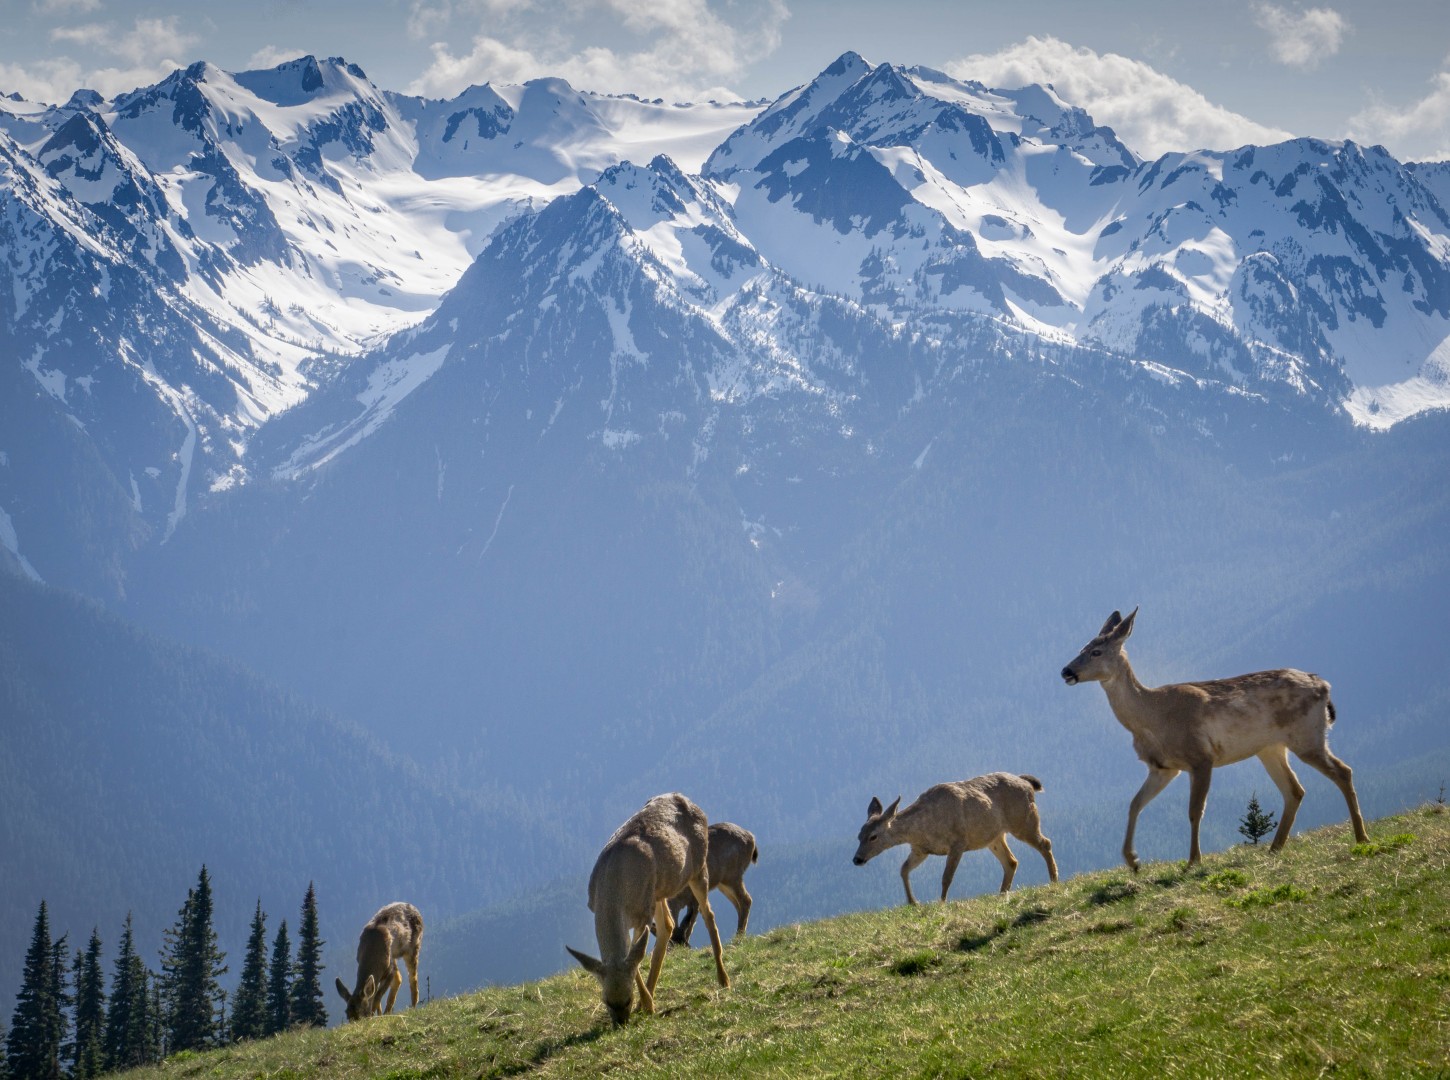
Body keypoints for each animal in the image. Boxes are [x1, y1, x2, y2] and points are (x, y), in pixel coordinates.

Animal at [562, 788, 725, 1026]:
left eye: (627, 999)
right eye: (606, 1001)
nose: (620, 1024)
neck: (614, 885)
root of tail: (684, 797)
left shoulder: (641, 914)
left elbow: (635, 957)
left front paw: (647, 1004)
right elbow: (634, 955)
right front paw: (647, 1002)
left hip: (697, 869)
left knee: (708, 914)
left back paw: (724, 979)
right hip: (658, 892)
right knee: (668, 925)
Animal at [846, 765, 1055, 898]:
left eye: (873, 836)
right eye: (858, 836)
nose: (857, 859)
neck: (922, 828)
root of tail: (1028, 784)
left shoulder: (958, 842)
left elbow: (946, 878)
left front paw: (942, 903)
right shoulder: (920, 849)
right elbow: (903, 869)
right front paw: (913, 902)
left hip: (1023, 820)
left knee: (1045, 843)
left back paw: (1053, 880)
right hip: (994, 836)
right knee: (1011, 861)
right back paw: (1002, 894)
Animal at [1061, 611, 1363, 869]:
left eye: (1096, 651)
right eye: (1082, 647)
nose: (1066, 671)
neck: (1152, 718)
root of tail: (1323, 685)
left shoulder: (1200, 757)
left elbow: (1195, 811)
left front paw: (1194, 860)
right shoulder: (1163, 767)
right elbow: (1134, 804)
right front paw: (1132, 860)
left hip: (1307, 736)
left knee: (1342, 771)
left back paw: (1361, 837)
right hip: (1271, 748)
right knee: (1295, 790)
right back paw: (1275, 848)